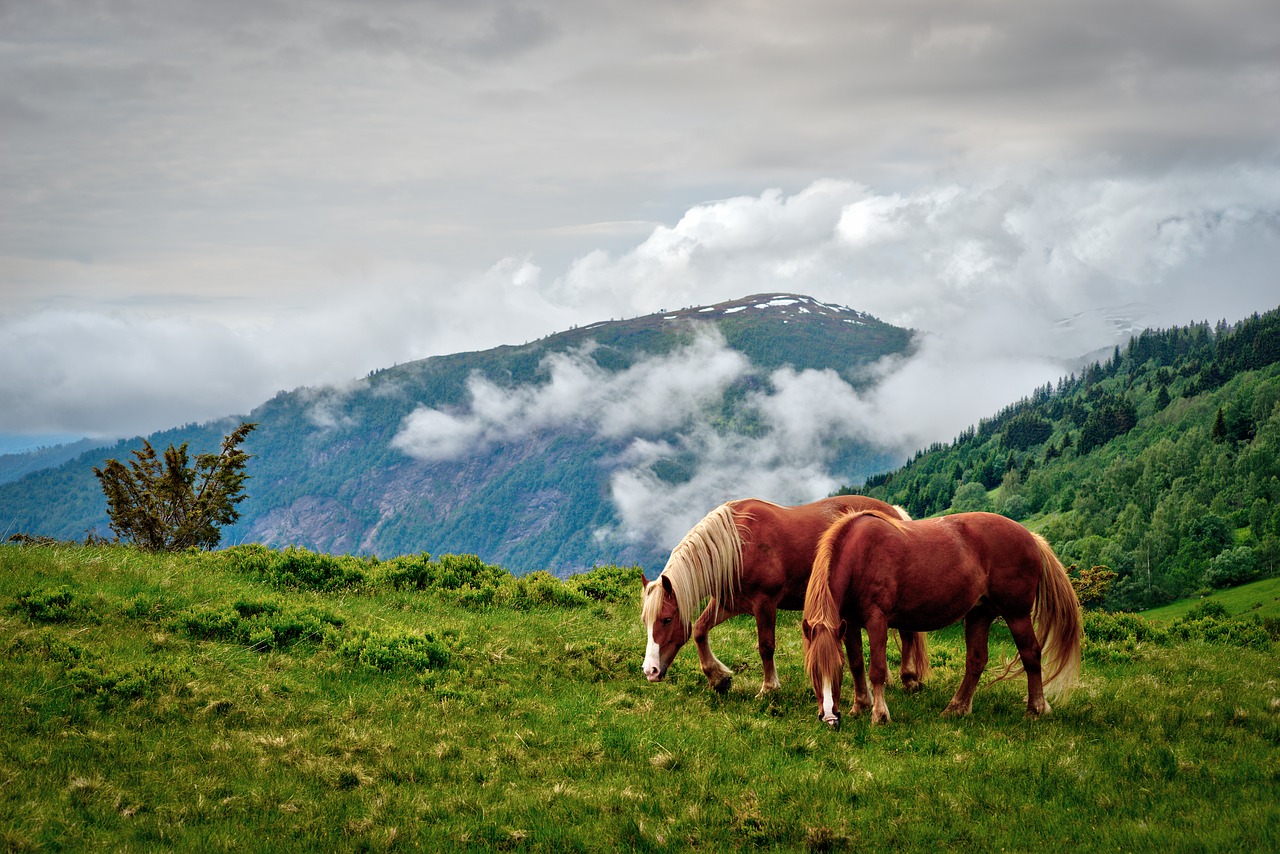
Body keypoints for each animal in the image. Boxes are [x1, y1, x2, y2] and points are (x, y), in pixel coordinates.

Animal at [640, 496, 931, 696]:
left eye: (666, 619)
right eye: (646, 621)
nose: (650, 671)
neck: (736, 545)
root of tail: (894, 512)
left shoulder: (765, 604)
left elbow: (766, 646)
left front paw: (769, 687)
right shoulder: (728, 604)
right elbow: (700, 630)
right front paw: (718, 678)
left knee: (907, 634)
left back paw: (909, 678)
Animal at [798, 512, 1080, 732]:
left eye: (835, 671)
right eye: (813, 672)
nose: (830, 718)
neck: (859, 554)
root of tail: (1031, 537)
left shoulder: (877, 620)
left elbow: (876, 669)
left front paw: (879, 714)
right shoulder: (850, 624)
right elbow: (857, 664)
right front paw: (860, 706)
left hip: (1016, 614)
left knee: (1030, 654)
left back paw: (1035, 708)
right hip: (980, 614)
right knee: (976, 660)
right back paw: (957, 707)